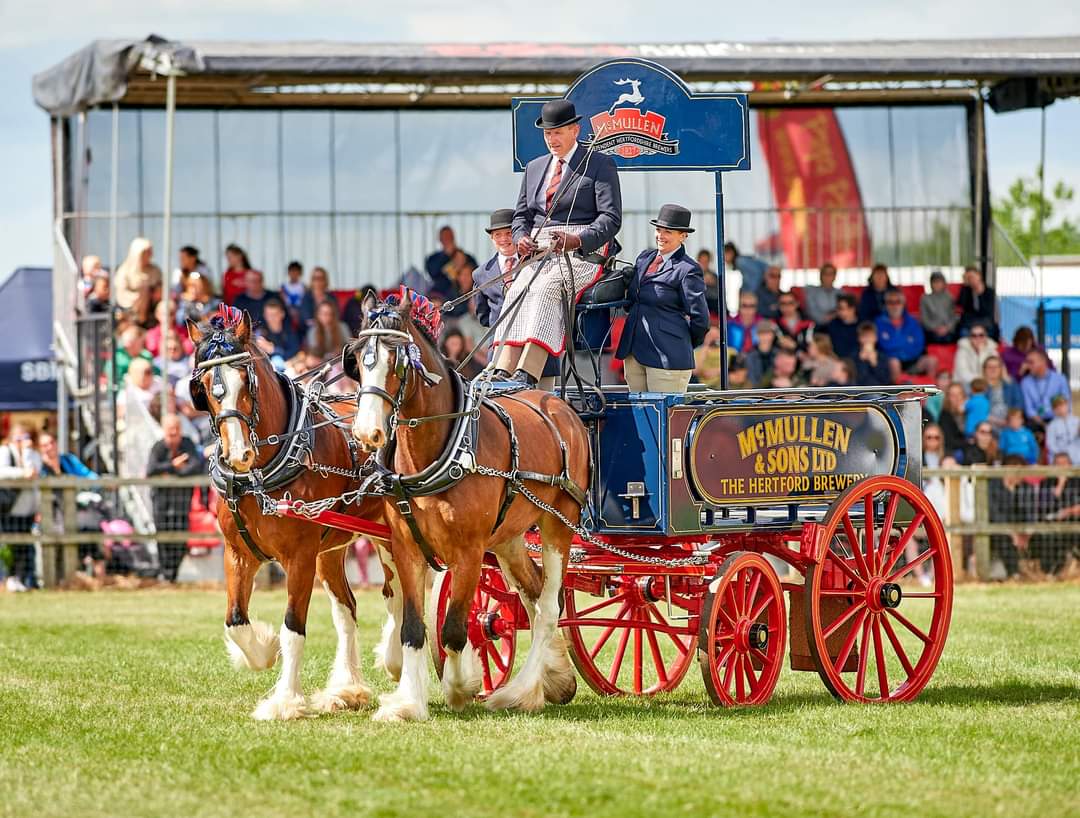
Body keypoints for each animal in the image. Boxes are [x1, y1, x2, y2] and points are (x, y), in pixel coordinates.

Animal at [187, 306, 393, 720]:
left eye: (246, 380)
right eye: (203, 388)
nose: (238, 454)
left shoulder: (299, 557)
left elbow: (293, 627)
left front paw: (284, 700)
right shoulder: (238, 554)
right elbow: (235, 622)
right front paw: (261, 651)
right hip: (330, 551)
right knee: (347, 610)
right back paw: (347, 689)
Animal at [344, 290, 591, 722]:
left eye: (398, 361)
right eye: (358, 360)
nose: (366, 432)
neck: (441, 449)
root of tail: (561, 406)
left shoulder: (469, 552)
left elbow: (455, 628)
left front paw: (462, 685)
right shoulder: (406, 547)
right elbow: (414, 628)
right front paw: (408, 702)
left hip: (560, 524)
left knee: (548, 605)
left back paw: (519, 691)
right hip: (509, 537)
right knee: (534, 594)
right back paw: (555, 676)